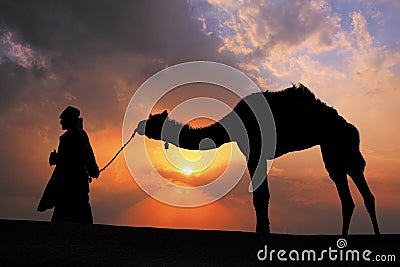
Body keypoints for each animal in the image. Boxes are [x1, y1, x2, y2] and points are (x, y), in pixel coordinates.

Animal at [136, 84, 380, 237]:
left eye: (152, 121)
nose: (139, 125)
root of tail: (352, 128)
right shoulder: (255, 152)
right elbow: (262, 194)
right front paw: (264, 229)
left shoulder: (255, 150)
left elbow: (261, 196)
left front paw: (262, 231)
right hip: (333, 150)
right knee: (353, 195)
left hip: (338, 148)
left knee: (355, 190)